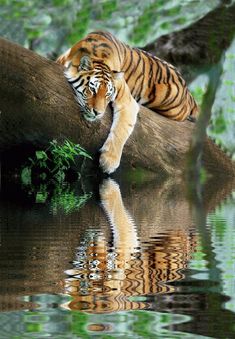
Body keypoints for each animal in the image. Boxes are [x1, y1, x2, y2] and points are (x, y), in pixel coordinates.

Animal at [57, 30, 198, 174]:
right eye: (92, 90)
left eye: (107, 94)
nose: (98, 113)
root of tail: (188, 93)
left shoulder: (127, 101)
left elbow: (121, 129)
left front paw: (109, 162)